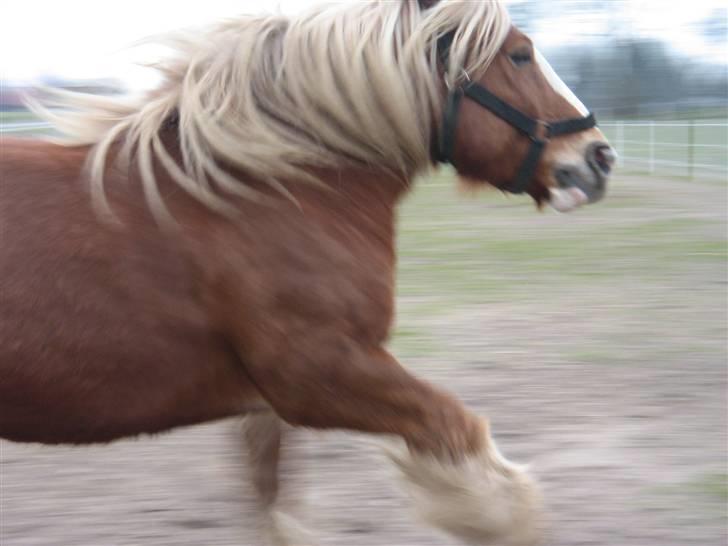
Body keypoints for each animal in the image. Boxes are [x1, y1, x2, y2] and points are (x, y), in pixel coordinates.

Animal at [0, 1, 616, 540]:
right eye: (520, 55)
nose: (599, 158)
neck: (263, 188)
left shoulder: (268, 406)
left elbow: (273, 504)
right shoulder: (319, 375)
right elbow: (460, 436)